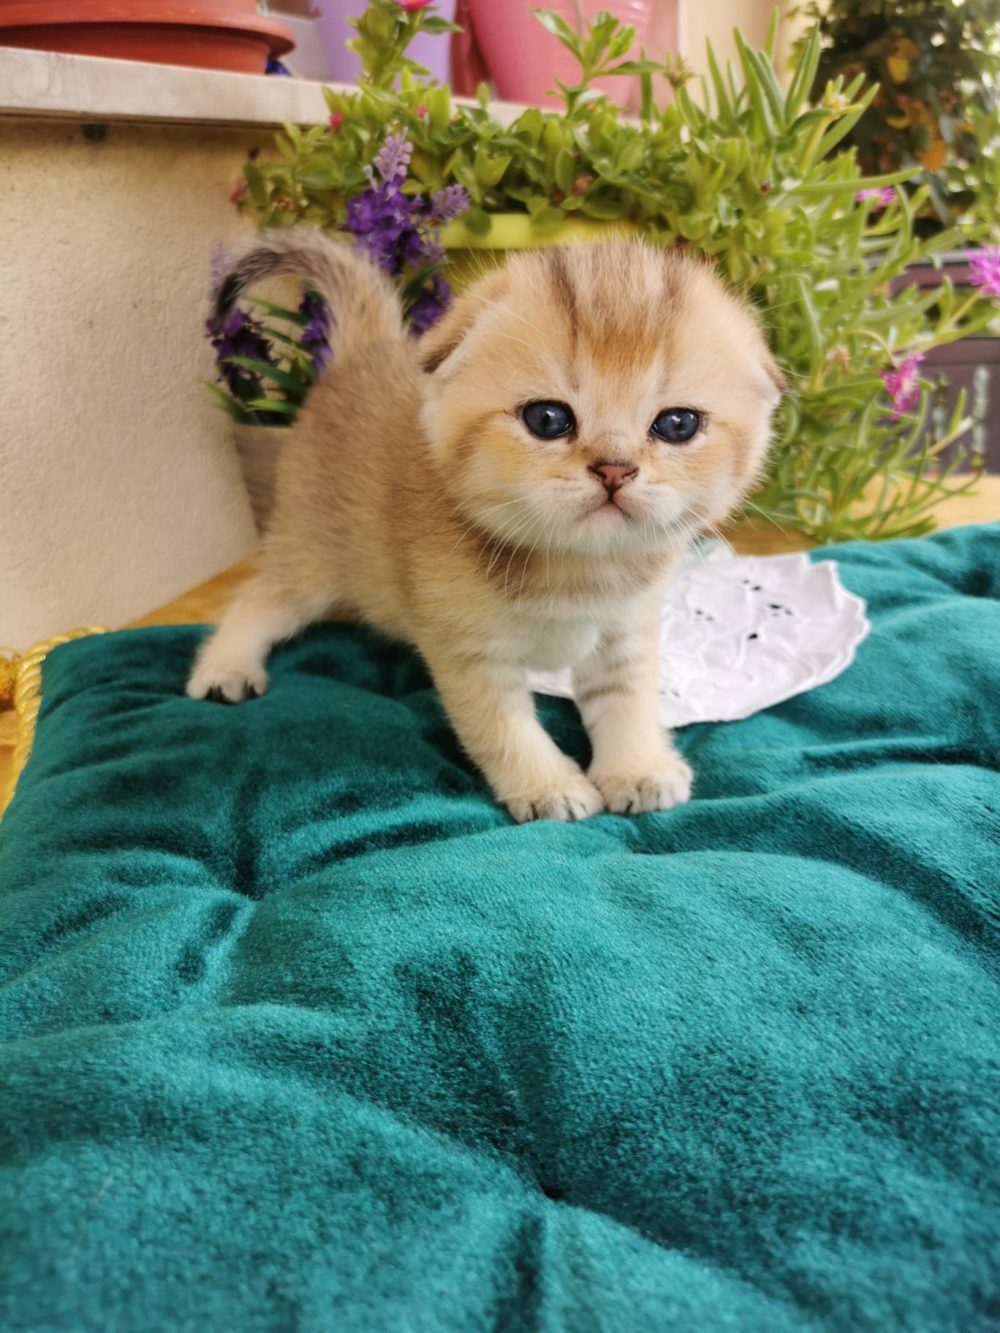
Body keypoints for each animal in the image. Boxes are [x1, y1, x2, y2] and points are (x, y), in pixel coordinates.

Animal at [188, 233, 784, 815]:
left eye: (678, 424)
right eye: (547, 419)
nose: (614, 469)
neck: (577, 569)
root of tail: (363, 352)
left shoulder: (625, 634)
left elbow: (627, 704)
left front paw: (637, 769)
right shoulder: (471, 654)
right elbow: (503, 729)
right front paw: (548, 787)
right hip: (311, 556)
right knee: (258, 598)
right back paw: (225, 669)